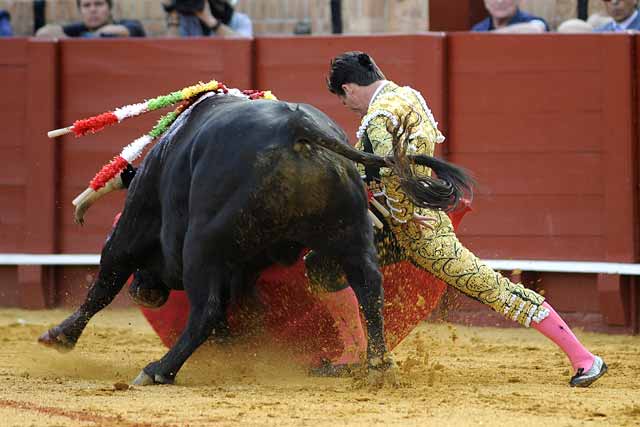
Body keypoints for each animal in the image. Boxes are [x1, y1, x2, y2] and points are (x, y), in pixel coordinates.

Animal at [38, 96, 470, 384]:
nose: (146, 293)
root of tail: (297, 129)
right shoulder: (247, 265)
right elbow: (245, 308)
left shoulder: (133, 228)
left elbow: (104, 284)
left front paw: (59, 337)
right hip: (351, 233)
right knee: (368, 289)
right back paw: (377, 367)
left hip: (200, 245)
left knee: (206, 309)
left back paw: (159, 370)